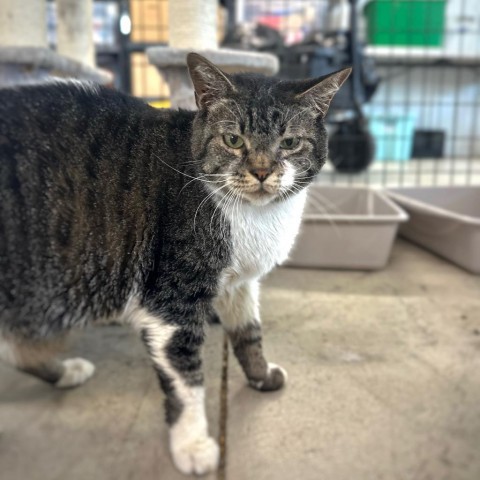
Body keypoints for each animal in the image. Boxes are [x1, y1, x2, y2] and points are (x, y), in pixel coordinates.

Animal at [0, 54, 348, 474]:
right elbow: (187, 379)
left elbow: (249, 332)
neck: (255, 217)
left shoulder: (237, 285)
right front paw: (193, 446)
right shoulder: (171, 302)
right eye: (234, 140)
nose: (263, 171)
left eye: (290, 142)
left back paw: (64, 371)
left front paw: (261, 376)